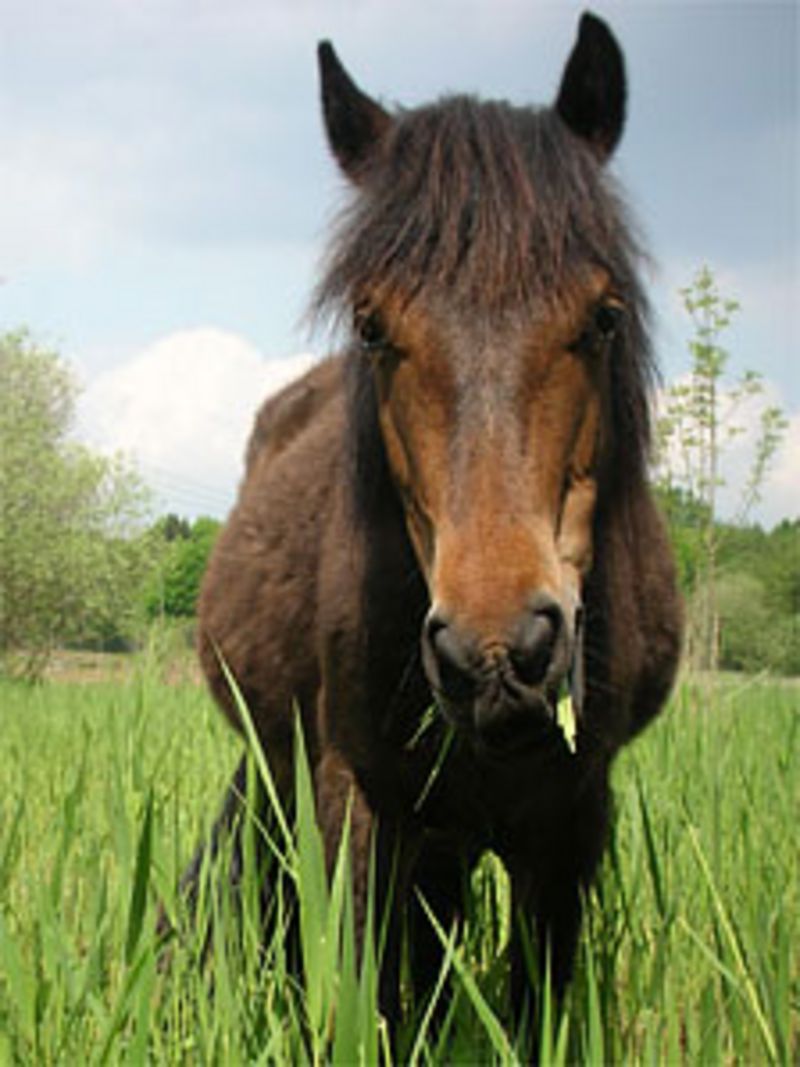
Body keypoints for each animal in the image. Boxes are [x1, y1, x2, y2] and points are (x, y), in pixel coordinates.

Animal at [191, 10, 682, 1025]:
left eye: (605, 316)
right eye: (373, 326)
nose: (499, 653)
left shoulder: (572, 823)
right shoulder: (356, 805)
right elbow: (367, 1004)